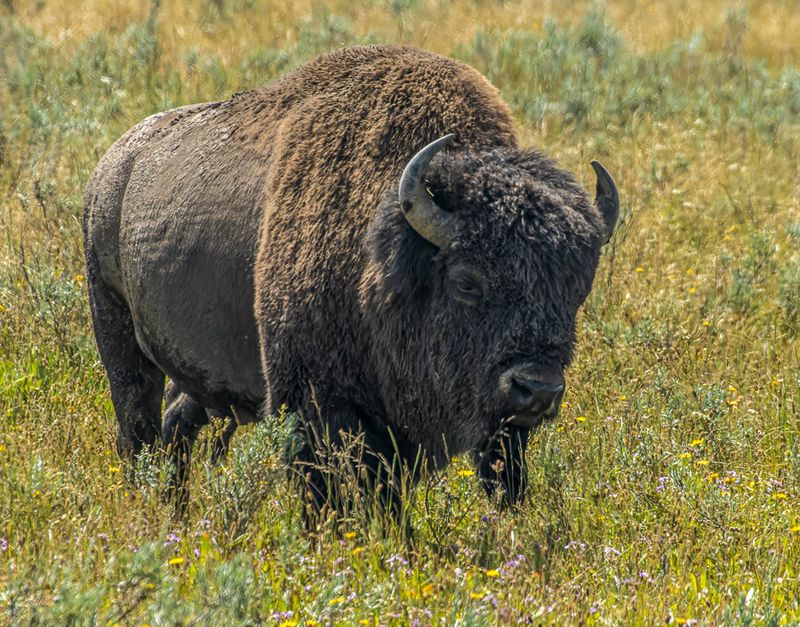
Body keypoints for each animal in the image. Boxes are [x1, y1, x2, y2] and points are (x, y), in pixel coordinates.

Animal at [83, 45, 619, 522]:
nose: (537, 388)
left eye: (578, 288)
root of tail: (113, 164)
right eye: (467, 281)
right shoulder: (312, 406)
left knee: (177, 423)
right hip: (117, 334)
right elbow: (323, 495)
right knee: (137, 429)